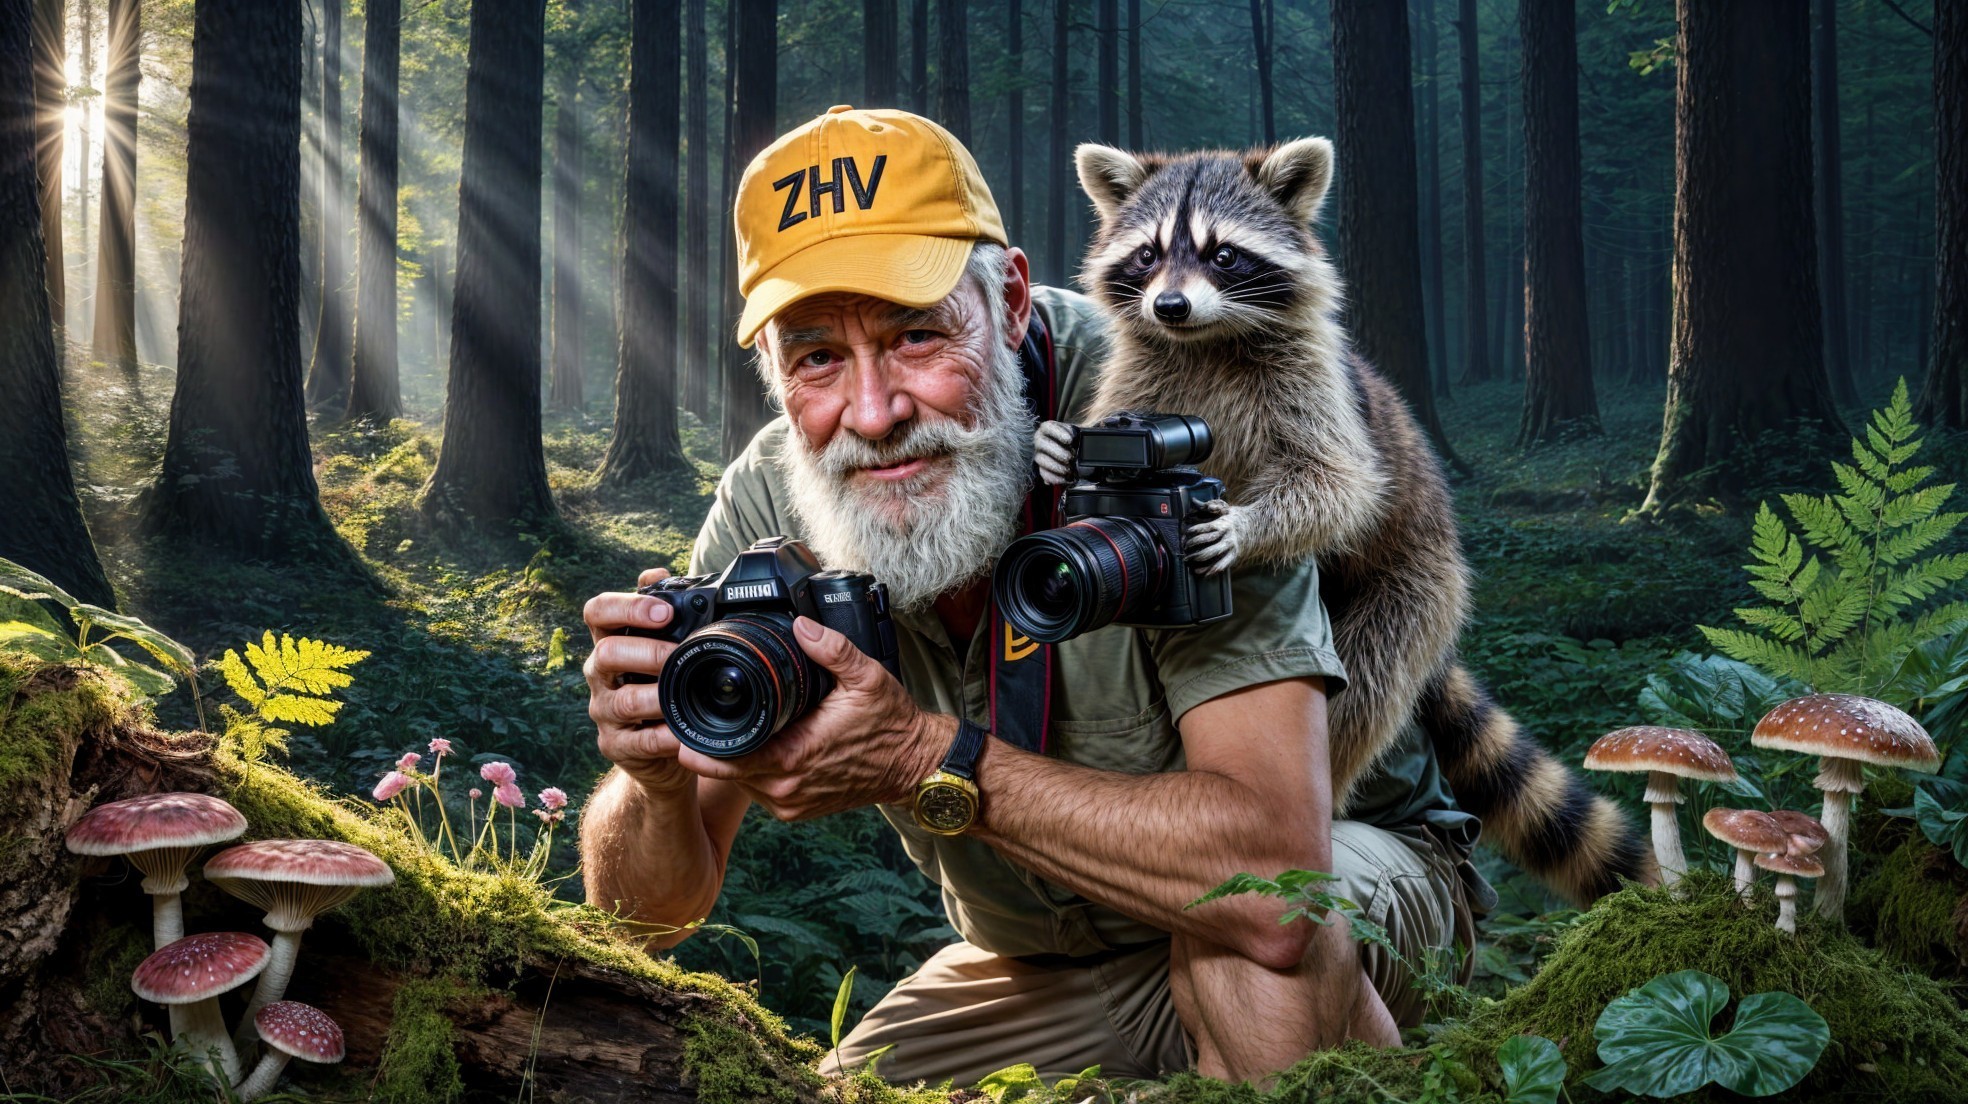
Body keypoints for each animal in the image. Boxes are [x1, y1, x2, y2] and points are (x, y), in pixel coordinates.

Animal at [1045, 138, 1652, 905]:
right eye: (1149, 255)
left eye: (1223, 255)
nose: (1170, 305)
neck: (1207, 337)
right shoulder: (1143, 372)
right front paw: (1056, 447)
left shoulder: (1315, 386)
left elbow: (1339, 484)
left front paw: (1244, 527)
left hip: (1414, 588)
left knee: (1362, 689)